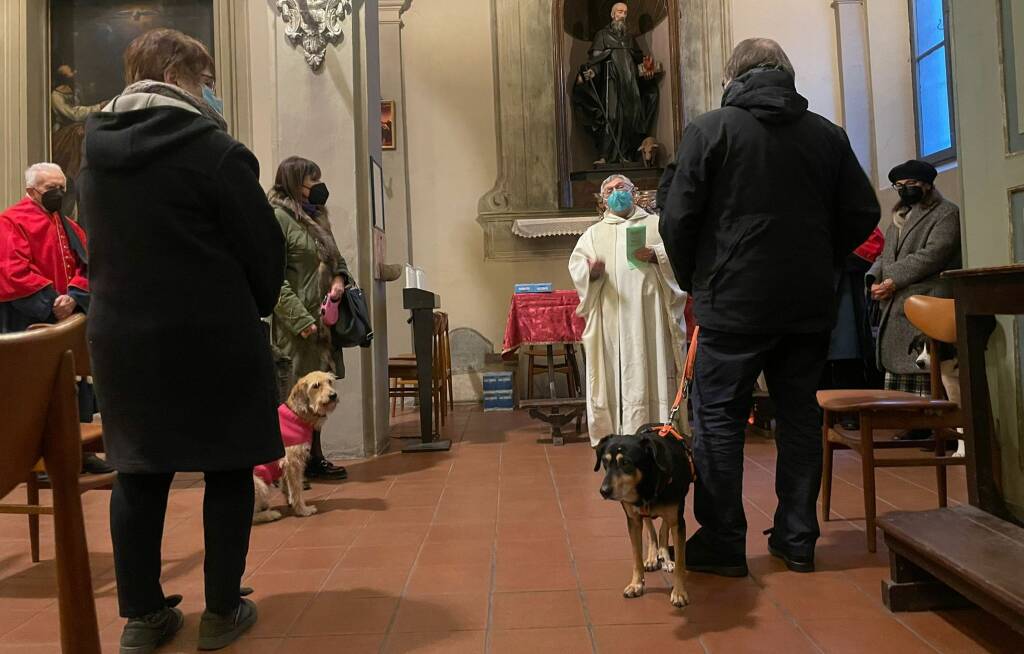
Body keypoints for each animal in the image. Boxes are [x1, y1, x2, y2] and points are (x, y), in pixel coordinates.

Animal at [598, 425, 692, 609]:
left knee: (663, 527)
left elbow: (680, 561)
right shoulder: (633, 520)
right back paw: (652, 557)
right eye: (605, 462)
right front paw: (636, 584)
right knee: (651, 529)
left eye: (626, 463)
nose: (603, 491)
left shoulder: (677, 521)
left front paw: (679, 592)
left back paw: (665, 557)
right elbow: (636, 557)